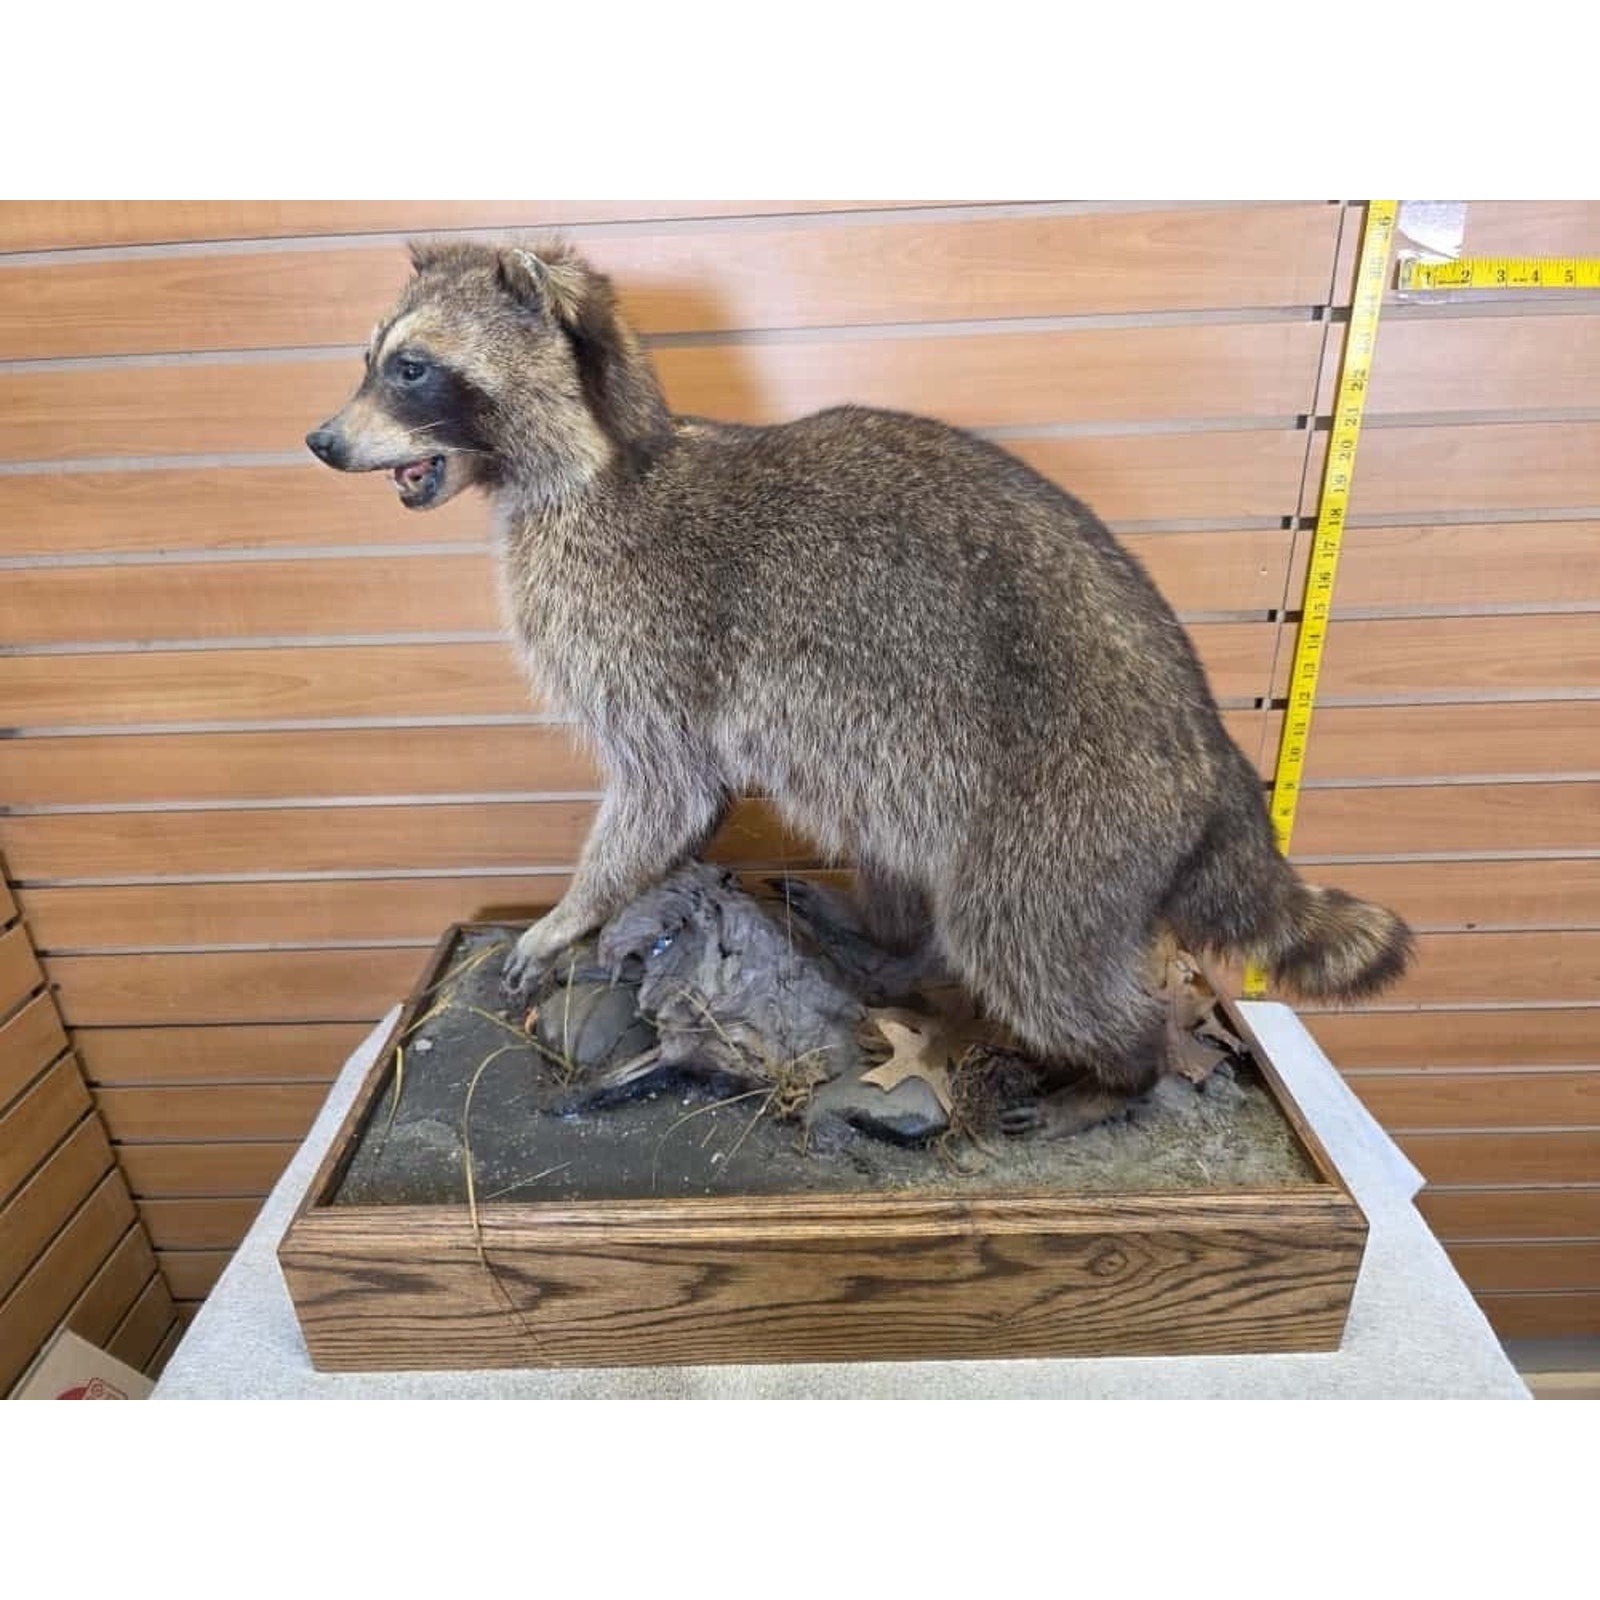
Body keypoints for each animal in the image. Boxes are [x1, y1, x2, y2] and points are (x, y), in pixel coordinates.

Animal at [307, 240, 1412, 1135]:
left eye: (411, 369)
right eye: (370, 359)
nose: (319, 442)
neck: (605, 454)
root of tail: (1217, 762)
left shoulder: (648, 632)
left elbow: (667, 793)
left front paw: (572, 910)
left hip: (1070, 817)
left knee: (1022, 947)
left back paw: (1123, 1067)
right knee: (888, 840)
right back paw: (880, 932)